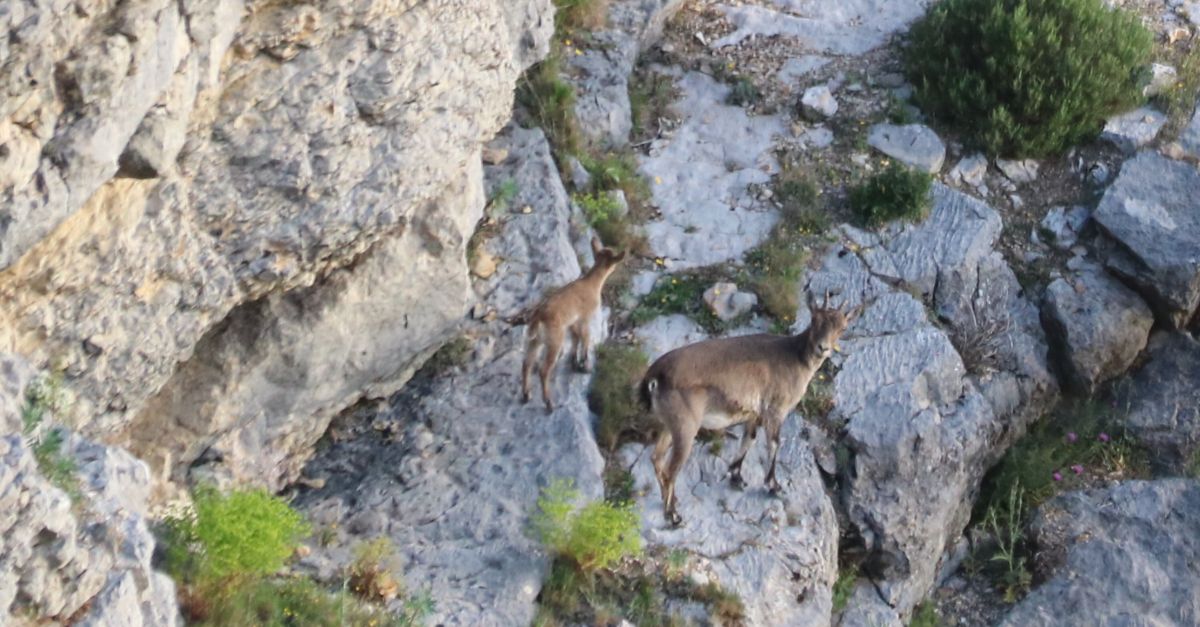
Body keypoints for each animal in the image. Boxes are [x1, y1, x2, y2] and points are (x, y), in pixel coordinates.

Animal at [521, 236, 626, 412]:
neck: (591, 284)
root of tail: (538, 319)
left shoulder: (573, 323)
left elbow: (576, 338)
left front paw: (575, 362)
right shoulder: (585, 317)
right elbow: (586, 338)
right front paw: (585, 365)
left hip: (535, 341)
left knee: (526, 364)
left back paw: (526, 395)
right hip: (555, 341)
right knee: (543, 370)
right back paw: (549, 403)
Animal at [639, 291, 860, 526]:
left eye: (842, 328)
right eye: (815, 319)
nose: (823, 348)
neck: (795, 357)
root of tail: (655, 376)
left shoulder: (754, 413)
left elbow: (749, 439)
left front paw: (736, 477)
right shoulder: (776, 410)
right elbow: (774, 443)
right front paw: (773, 486)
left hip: (667, 424)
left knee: (656, 458)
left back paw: (670, 502)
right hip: (685, 427)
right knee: (671, 469)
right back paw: (673, 515)